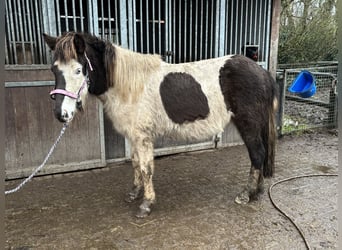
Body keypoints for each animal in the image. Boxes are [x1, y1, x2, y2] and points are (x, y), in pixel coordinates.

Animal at [43, 32, 278, 218]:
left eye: (78, 70)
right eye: (54, 70)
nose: (61, 114)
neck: (129, 85)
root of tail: (262, 73)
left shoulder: (143, 136)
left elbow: (146, 168)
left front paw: (146, 205)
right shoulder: (134, 135)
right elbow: (135, 163)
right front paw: (134, 193)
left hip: (248, 124)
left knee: (257, 154)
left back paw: (246, 194)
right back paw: (257, 192)